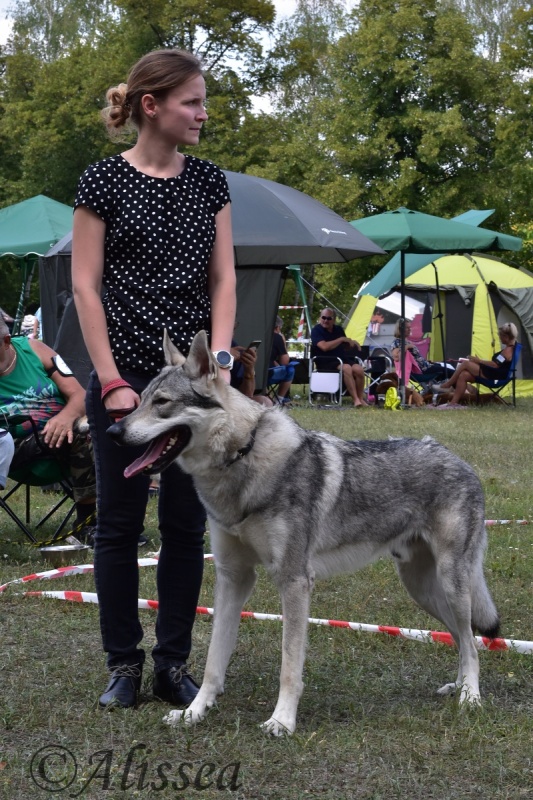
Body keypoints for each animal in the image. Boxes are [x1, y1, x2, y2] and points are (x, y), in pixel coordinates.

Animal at [107, 332, 498, 736]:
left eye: (162, 403)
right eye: (140, 399)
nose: (112, 431)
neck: (243, 457)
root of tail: (460, 461)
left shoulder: (294, 580)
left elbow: (289, 666)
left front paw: (281, 720)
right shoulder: (233, 577)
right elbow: (214, 661)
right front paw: (194, 712)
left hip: (450, 585)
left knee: (471, 642)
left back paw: (470, 697)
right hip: (423, 589)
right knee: (464, 638)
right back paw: (458, 687)